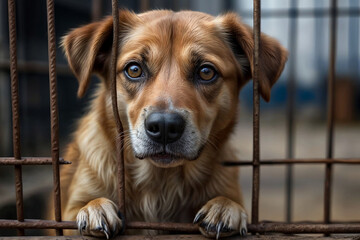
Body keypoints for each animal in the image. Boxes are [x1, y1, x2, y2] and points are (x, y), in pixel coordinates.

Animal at [56, 8, 286, 238]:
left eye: (206, 72)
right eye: (134, 69)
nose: (164, 127)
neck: (161, 184)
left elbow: (228, 201)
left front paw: (224, 206)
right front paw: (94, 206)